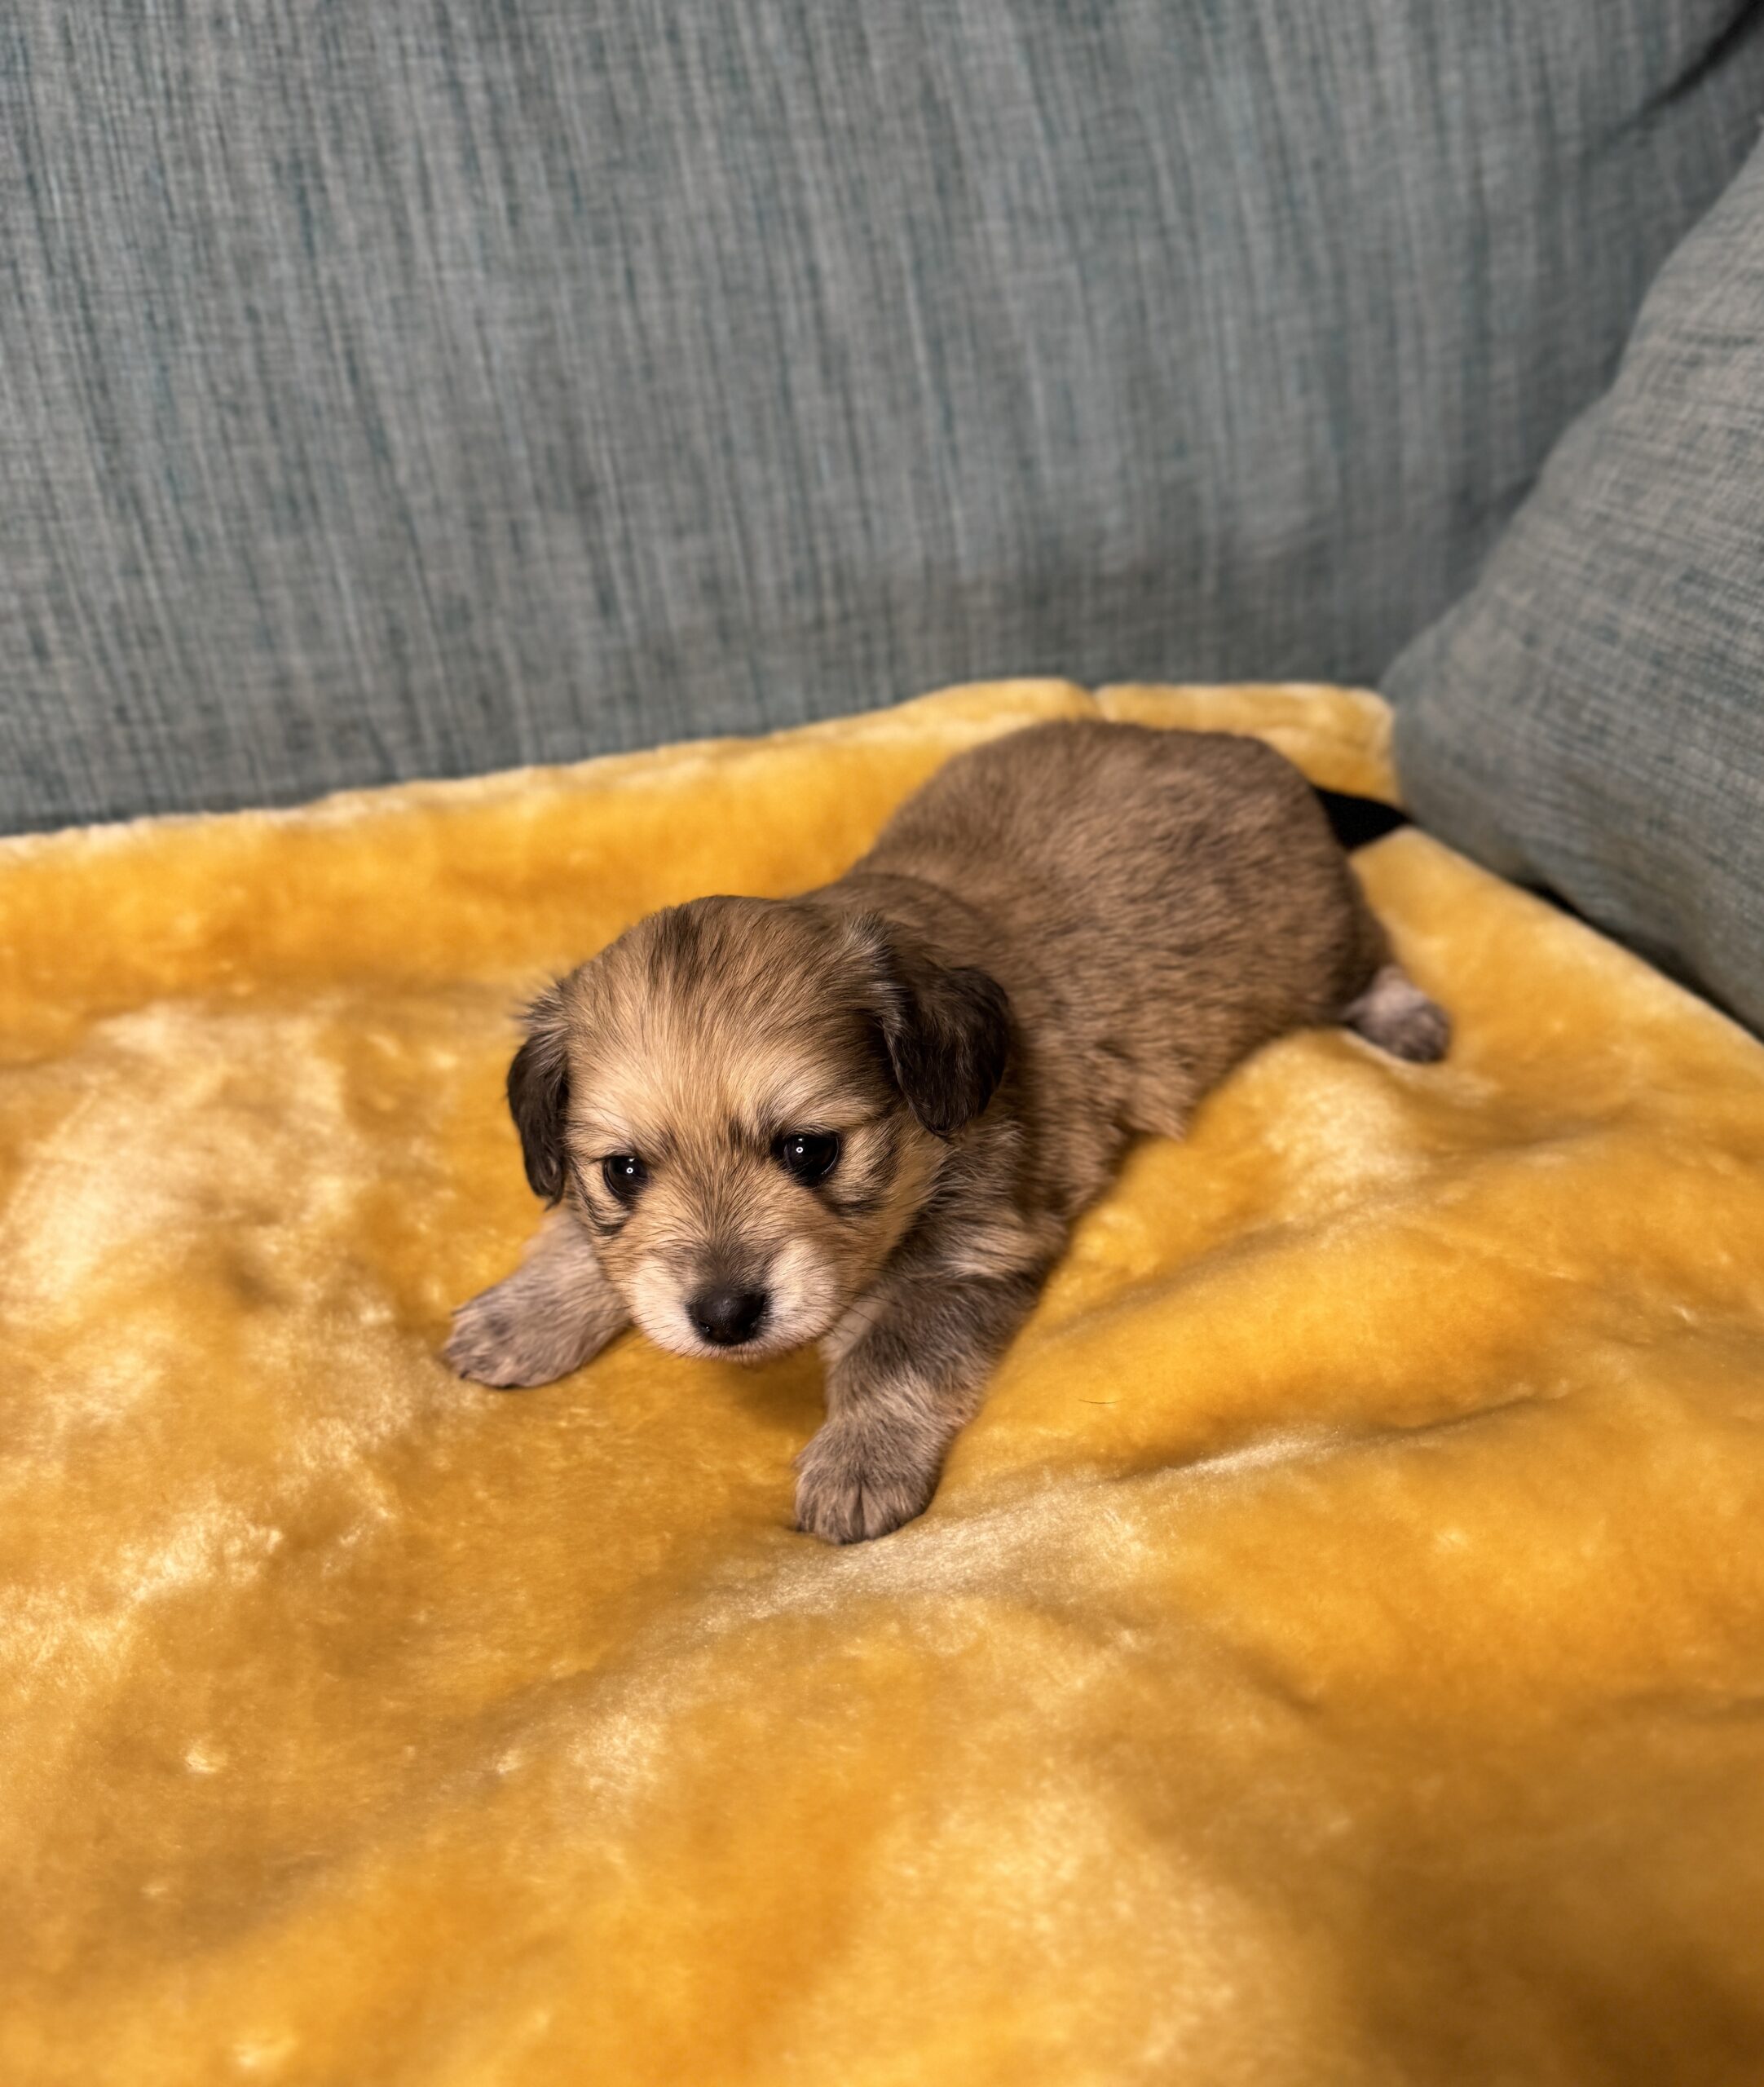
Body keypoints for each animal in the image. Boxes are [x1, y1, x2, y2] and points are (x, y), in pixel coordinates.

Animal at [445, 720, 1448, 1542]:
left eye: (810, 1150)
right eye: (622, 1172)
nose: (724, 1318)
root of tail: (1253, 752)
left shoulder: (967, 1256)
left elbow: (892, 1358)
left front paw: (859, 1464)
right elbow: (582, 1241)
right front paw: (523, 1316)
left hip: (1315, 948)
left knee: (1375, 958)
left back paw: (1407, 1019)